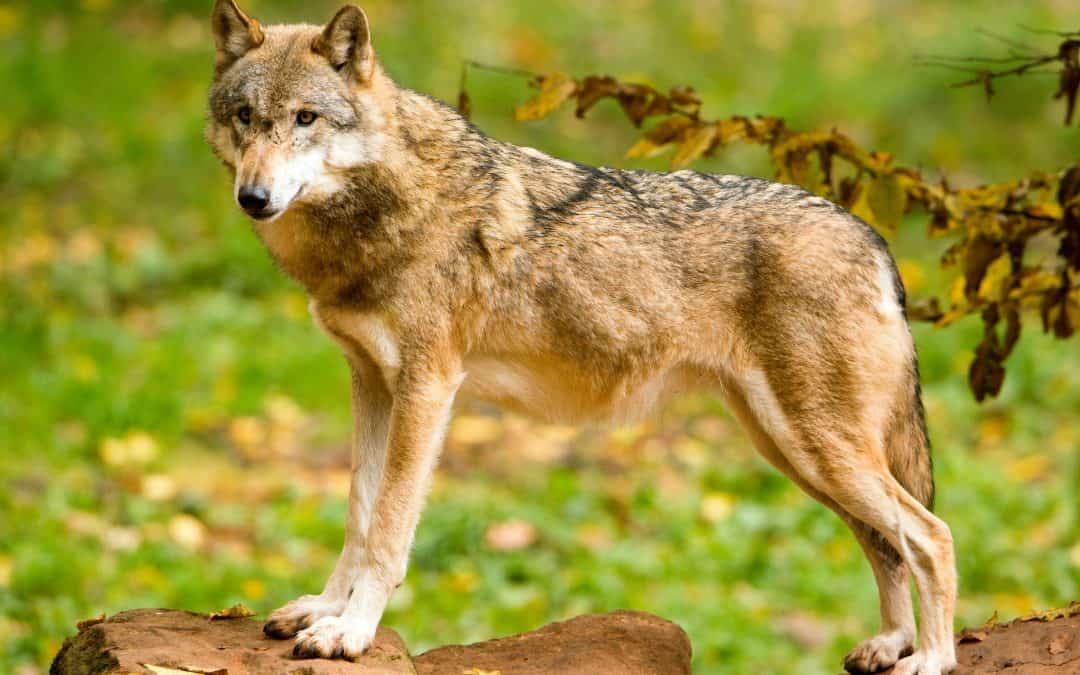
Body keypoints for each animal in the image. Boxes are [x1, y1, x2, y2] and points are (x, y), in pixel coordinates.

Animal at [205, 1, 958, 672]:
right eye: (246, 118)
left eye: (305, 119)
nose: (252, 198)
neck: (378, 210)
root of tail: (872, 235)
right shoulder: (370, 382)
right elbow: (359, 514)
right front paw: (324, 609)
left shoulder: (427, 389)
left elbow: (389, 529)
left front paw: (351, 631)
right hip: (793, 450)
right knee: (885, 540)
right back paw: (890, 644)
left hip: (816, 447)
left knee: (931, 535)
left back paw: (930, 659)